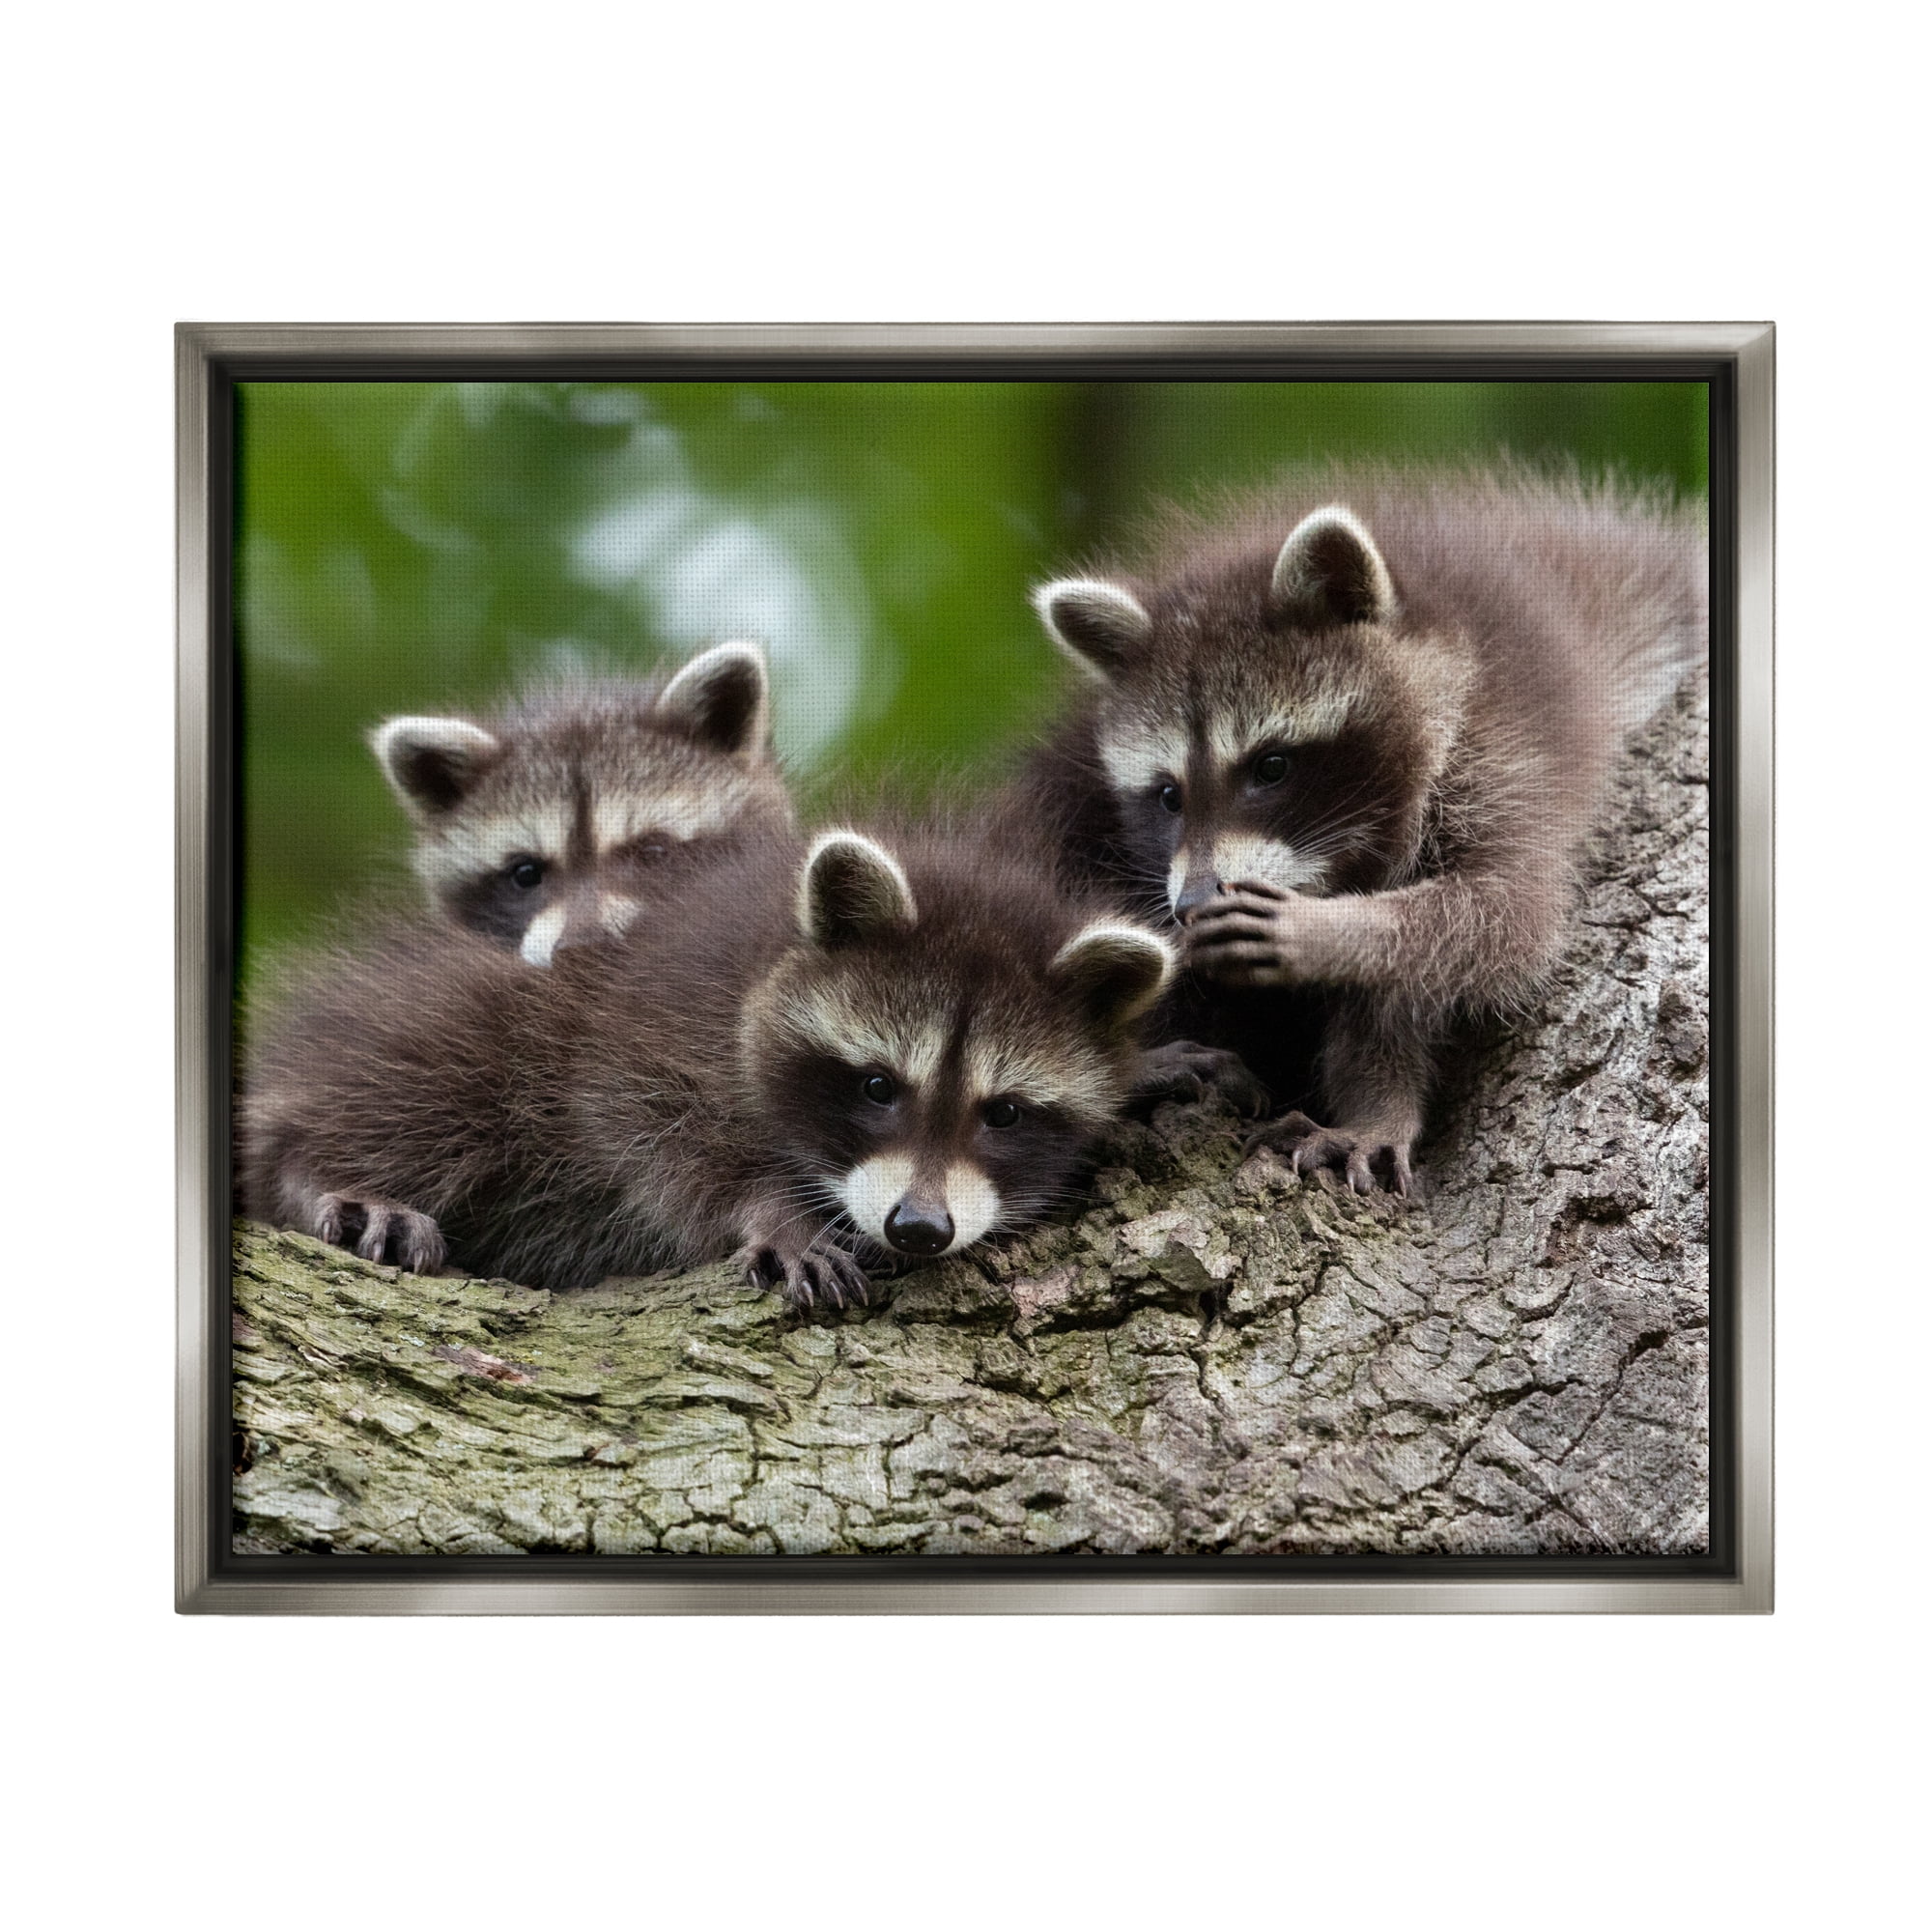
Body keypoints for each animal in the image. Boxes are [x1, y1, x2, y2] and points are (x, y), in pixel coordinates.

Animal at [240, 823, 1174, 1308]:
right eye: (878, 1086)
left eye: (1003, 1112)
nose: (917, 1227)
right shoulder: (656, 1017)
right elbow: (653, 1131)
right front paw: (772, 1210)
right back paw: (314, 1169)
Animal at [1018, 463, 1707, 1193]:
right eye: (1168, 795)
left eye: (1271, 766)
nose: (1194, 902)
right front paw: (1378, 1101)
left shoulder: (1507, 750)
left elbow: (1503, 918)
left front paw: (1333, 931)